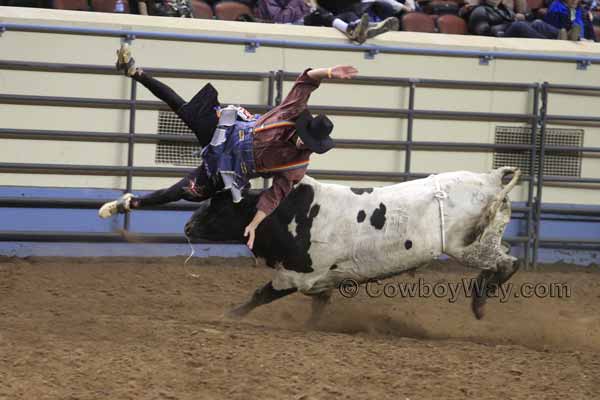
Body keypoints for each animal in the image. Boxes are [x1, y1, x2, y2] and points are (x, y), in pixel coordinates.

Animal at [185, 167, 524, 324]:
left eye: (219, 209)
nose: (187, 226)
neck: (288, 215)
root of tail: (491, 179)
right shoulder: (320, 280)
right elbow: (319, 304)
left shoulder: (294, 275)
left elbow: (261, 294)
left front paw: (229, 315)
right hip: (486, 240)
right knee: (504, 258)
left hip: (469, 247)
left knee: (508, 263)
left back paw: (479, 304)